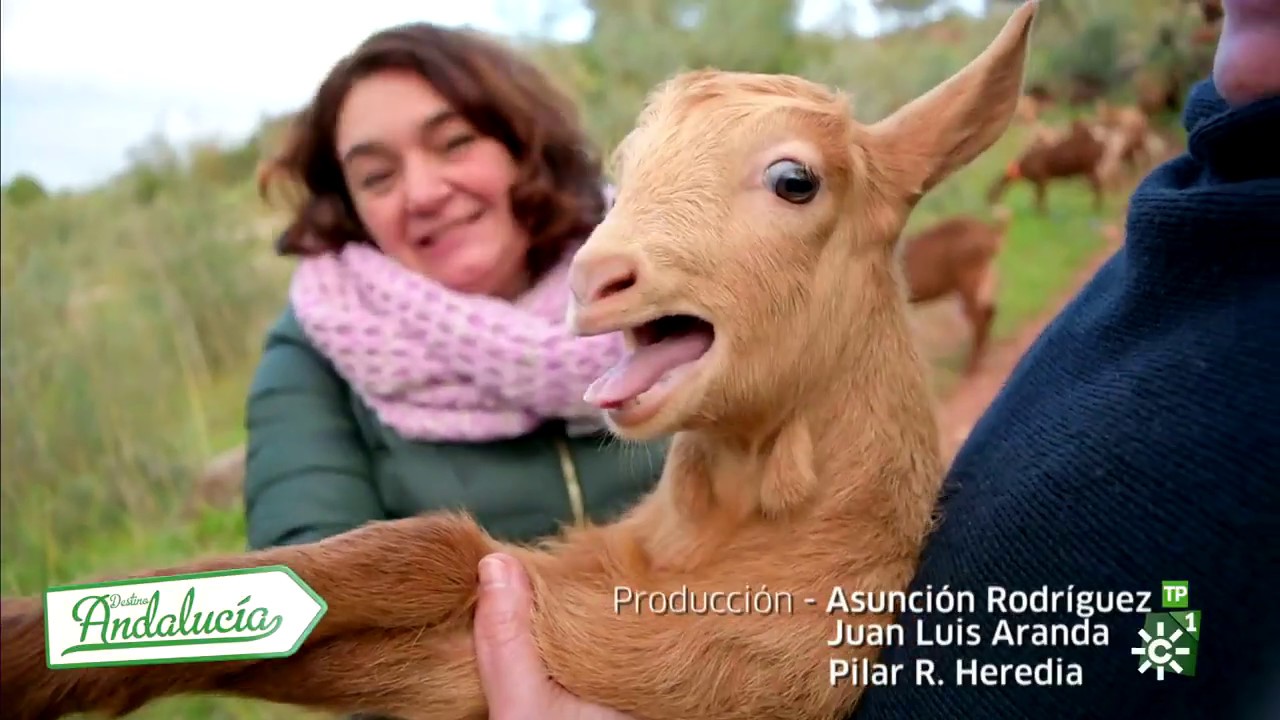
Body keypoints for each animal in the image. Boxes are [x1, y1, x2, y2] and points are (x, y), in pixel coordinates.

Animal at [898, 206, 1013, 376]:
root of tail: (990, 234)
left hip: (969, 281)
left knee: (979, 317)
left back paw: (970, 368)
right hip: (985, 278)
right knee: (989, 311)